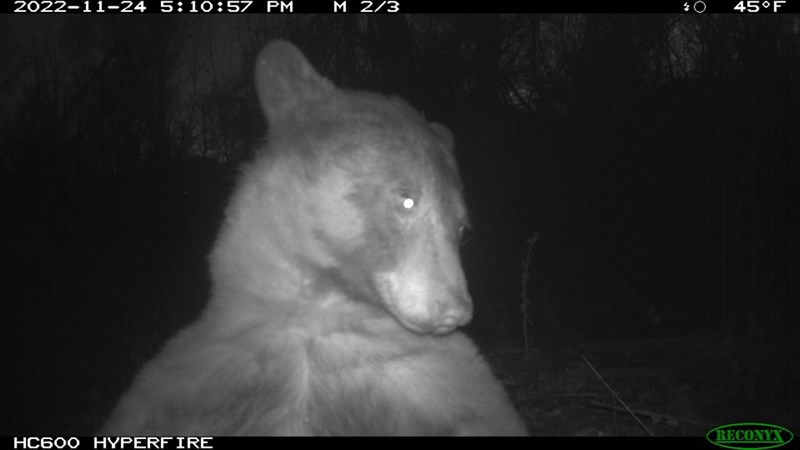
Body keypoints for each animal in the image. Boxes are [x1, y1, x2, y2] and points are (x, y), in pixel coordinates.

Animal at [98, 39, 524, 436]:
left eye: (462, 229)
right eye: (407, 199)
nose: (456, 310)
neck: (318, 310)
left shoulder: (437, 379)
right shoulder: (195, 378)